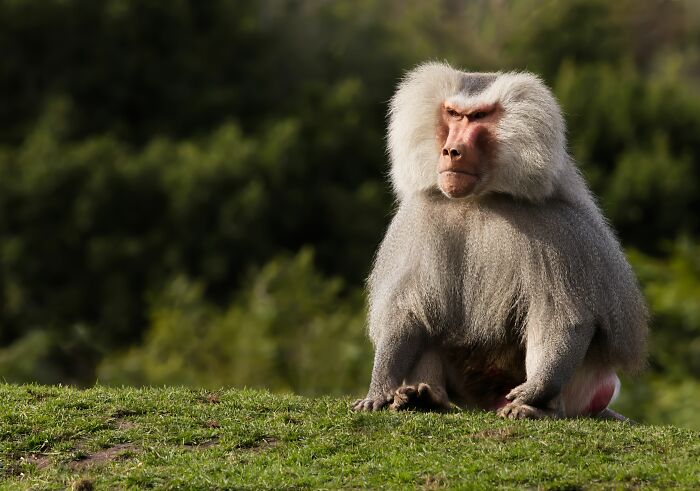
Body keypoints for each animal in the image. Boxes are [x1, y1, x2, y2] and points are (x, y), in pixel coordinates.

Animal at [352, 62, 648, 420]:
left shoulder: (560, 229)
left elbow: (566, 316)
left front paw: (535, 391)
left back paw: (536, 408)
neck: (479, 198)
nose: (451, 151)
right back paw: (425, 397)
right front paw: (380, 388)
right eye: (453, 114)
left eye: (479, 117)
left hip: (583, 386)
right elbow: (406, 311)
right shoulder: (420, 218)